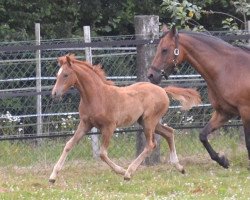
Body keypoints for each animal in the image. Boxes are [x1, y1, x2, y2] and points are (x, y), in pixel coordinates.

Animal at [49, 54, 201, 182]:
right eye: (57, 74)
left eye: (66, 75)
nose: (54, 94)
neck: (96, 96)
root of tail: (163, 90)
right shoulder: (85, 124)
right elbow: (68, 145)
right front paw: (52, 176)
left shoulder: (109, 127)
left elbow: (102, 153)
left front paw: (121, 170)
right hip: (147, 122)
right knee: (169, 132)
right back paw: (179, 167)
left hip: (149, 121)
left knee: (151, 144)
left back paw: (129, 172)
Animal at [147, 25, 250, 169]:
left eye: (164, 50)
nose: (151, 75)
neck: (230, 68)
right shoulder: (225, 113)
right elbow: (202, 135)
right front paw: (223, 161)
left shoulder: (245, 112)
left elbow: (248, 144)